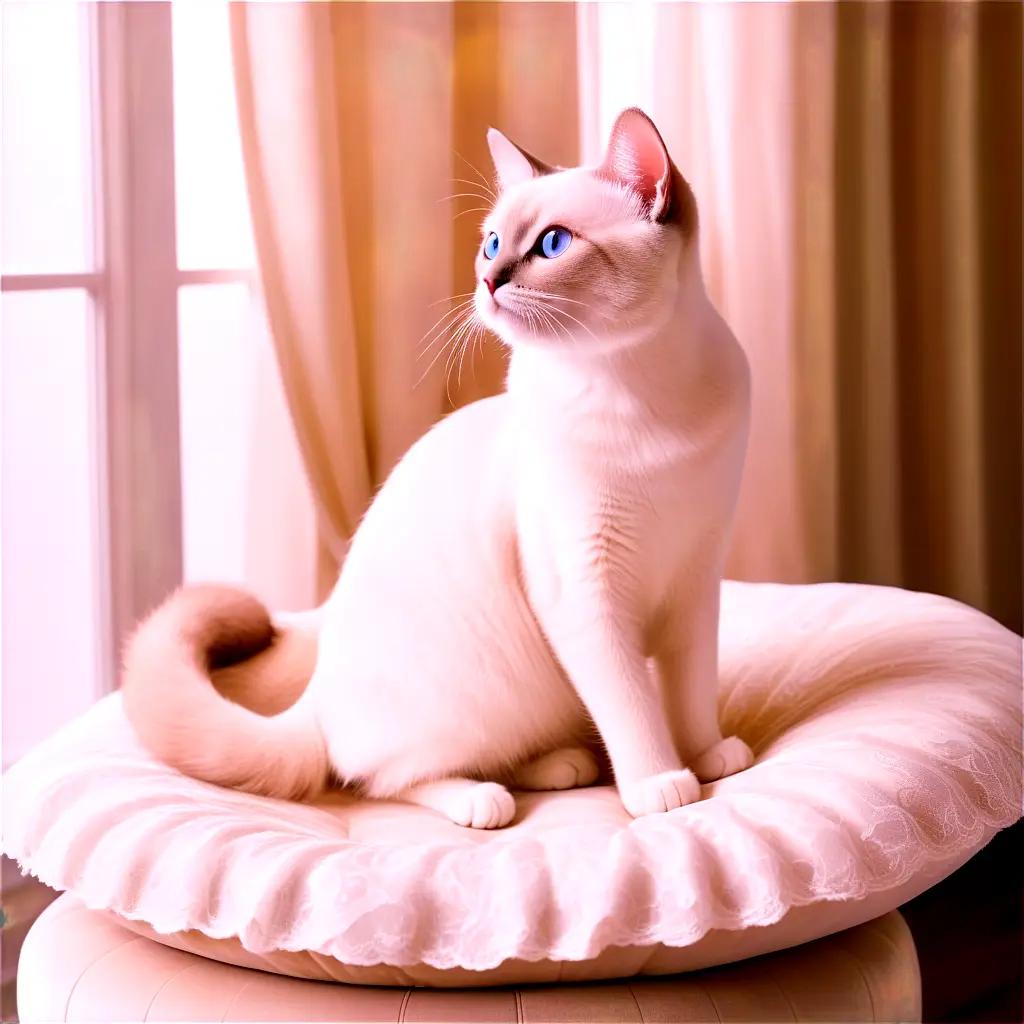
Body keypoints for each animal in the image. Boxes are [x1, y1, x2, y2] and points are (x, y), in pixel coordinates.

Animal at [125, 110, 753, 831]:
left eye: (553, 244)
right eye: (492, 245)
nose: (489, 281)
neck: (642, 392)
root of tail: (316, 694)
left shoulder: (697, 579)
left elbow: (688, 694)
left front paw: (709, 759)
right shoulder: (586, 597)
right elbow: (634, 709)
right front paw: (662, 786)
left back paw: (560, 764)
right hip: (472, 698)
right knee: (380, 779)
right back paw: (485, 798)